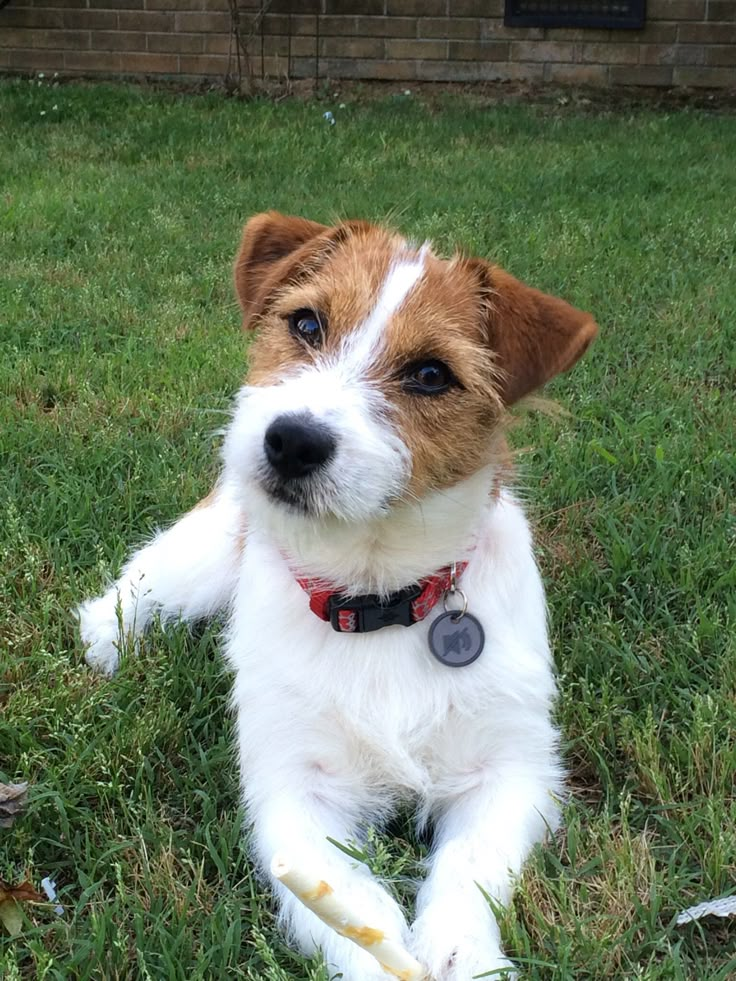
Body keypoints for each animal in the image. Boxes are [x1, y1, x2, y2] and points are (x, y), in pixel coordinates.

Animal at [77, 211, 600, 976]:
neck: (376, 597)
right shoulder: (293, 791)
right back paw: (110, 643)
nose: (291, 440)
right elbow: (353, 905)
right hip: (203, 554)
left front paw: (462, 954)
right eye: (306, 324)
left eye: (430, 374)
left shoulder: (511, 769)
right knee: (139, 584)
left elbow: (470, 867)